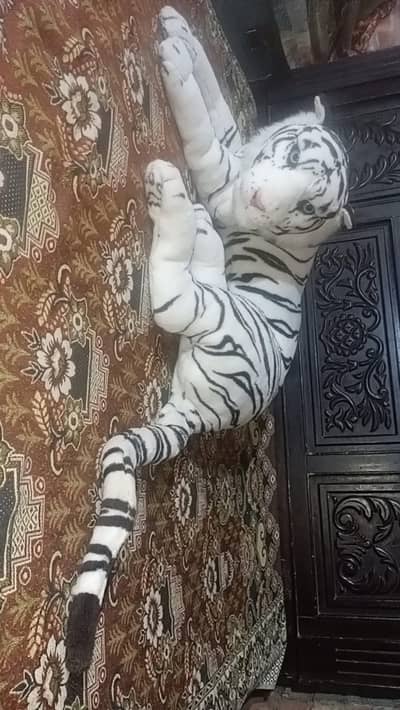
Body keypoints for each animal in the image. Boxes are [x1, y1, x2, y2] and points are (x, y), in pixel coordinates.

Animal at [66, 5, 351, 672]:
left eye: (308, 208)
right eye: (291, 151)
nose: (258, 200)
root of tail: (199, 417)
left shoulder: (220, 179)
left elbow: (200, 123)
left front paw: (172, 61)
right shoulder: (236, 153)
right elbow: (220, 103)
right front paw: (184, 36)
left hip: (217, 316)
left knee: (177, 298)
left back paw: (172, 198)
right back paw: (197, 230)